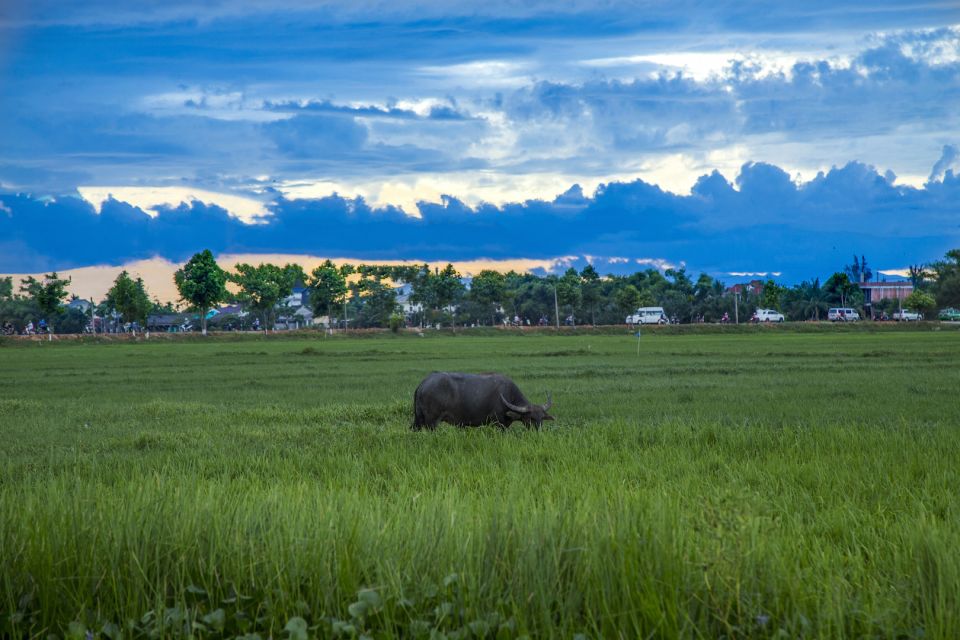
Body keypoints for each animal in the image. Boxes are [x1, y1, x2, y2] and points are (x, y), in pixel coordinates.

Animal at [412, 372, 556, 432]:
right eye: (530, 418)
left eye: (542, 418)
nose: (538, 432)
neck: (508, 396)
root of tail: (423, 383)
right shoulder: (498, 424)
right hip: (431, 421)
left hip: (419, 419)